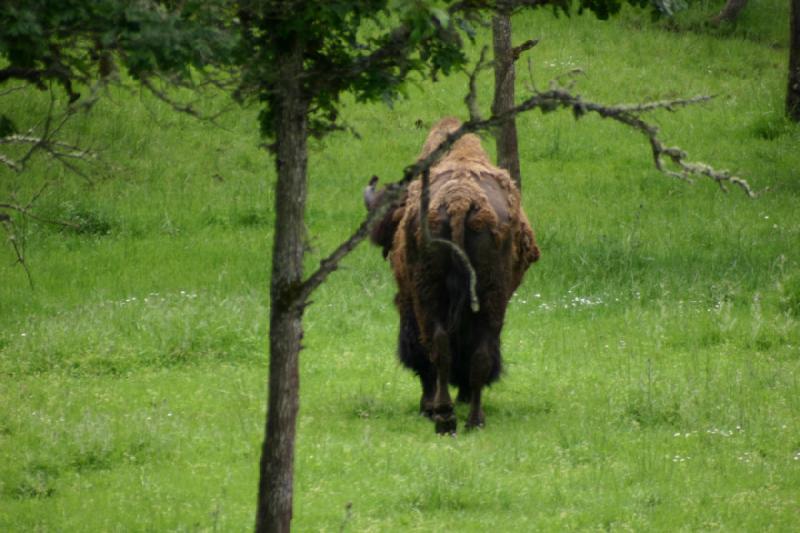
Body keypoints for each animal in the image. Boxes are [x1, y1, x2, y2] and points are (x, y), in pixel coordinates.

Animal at [366, 116, 540, 432]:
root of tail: (461, 201)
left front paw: (427, 405)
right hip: (489, 298)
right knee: (473, 351)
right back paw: (467, 418)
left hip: (428, 296)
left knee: (437, 347)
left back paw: (443, 413)